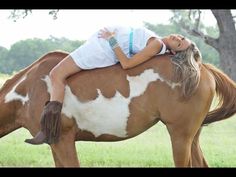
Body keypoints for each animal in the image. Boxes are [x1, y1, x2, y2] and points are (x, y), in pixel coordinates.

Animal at [0, 50, 235, 167]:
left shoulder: (63, 141)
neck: (29, 88)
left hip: (180, 137)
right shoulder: (56, 144)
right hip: (192, 137)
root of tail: (202, 68)